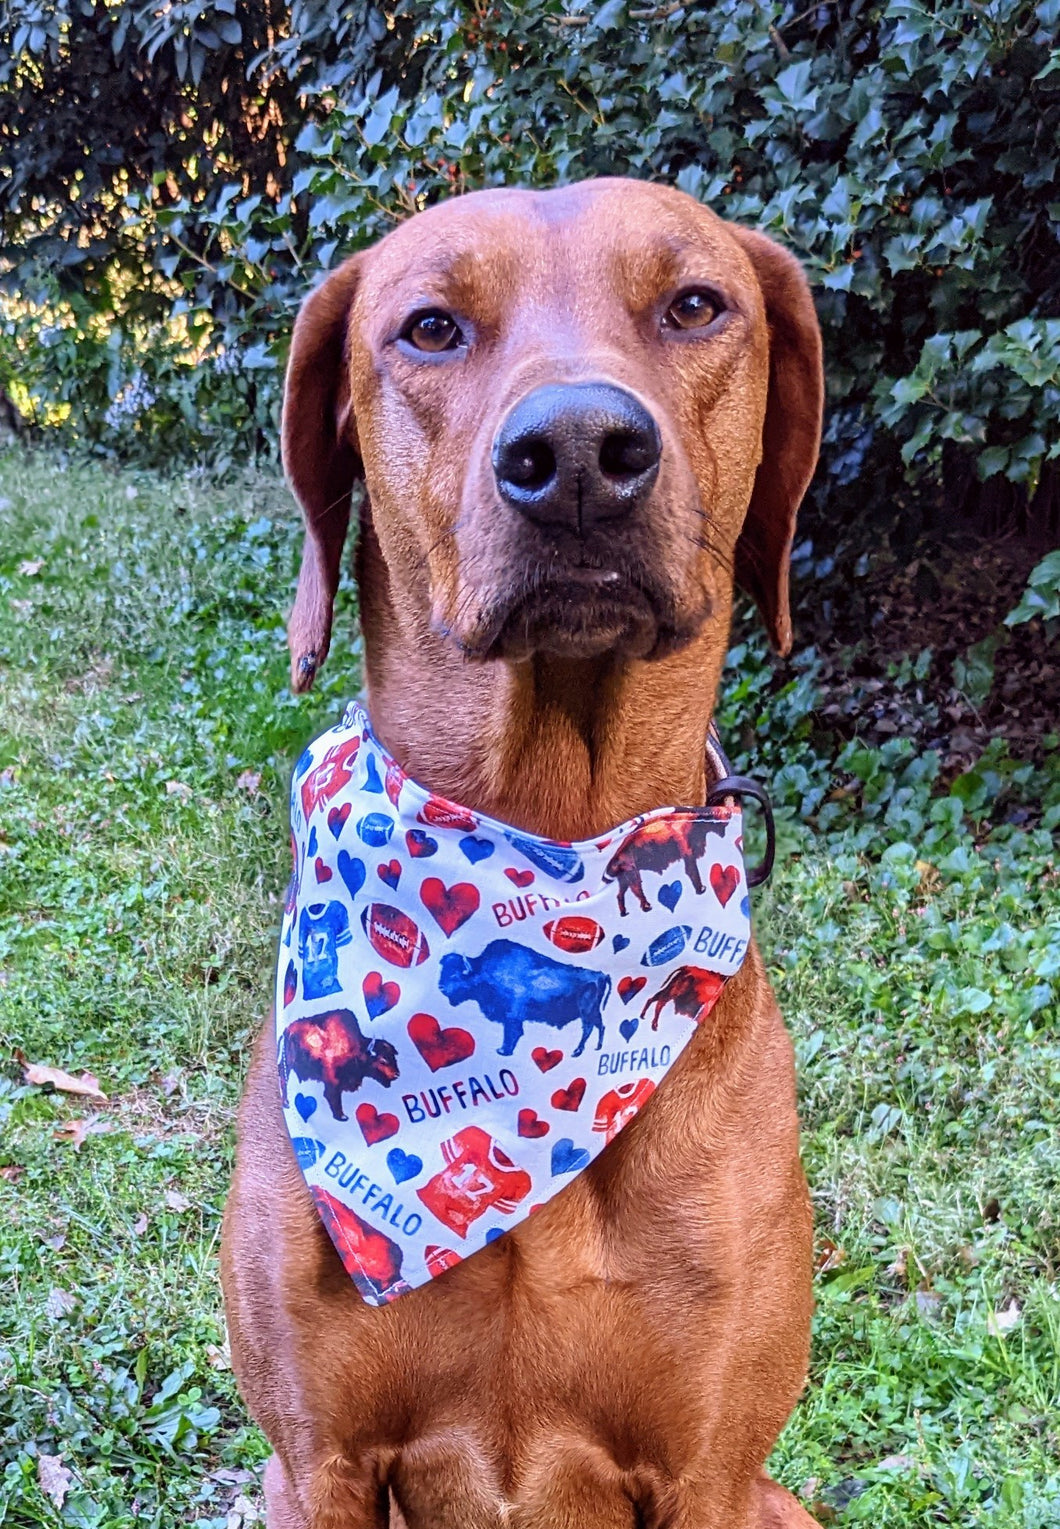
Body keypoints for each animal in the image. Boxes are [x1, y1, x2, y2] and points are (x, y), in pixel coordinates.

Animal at [434, 935, 608, 1058]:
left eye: (455, 975)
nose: (440, 987)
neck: (484, 970)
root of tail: (601, 975)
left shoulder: (512, 1015)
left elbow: (512, 1032)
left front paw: (503, 1051)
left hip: (585, 1011)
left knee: (588, 1027)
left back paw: (577, 1051)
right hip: (593, 1011)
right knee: (600, 1025)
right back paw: (597, 1047)